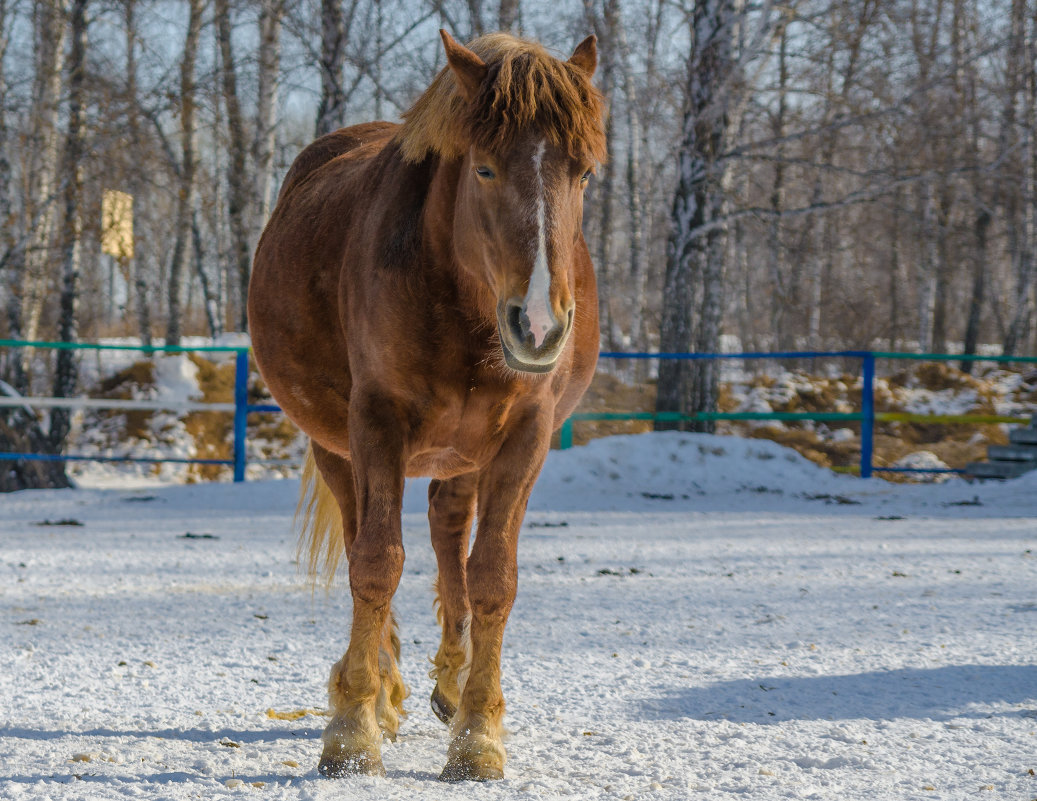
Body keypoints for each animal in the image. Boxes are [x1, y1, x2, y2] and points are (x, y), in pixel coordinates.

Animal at [248, 31, 605, 780]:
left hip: (463, 454)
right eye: (486, 170)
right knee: (365, 538)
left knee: (448, 537)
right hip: (338, 448)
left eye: (585, 174)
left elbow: (491, 576)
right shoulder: (376, 423)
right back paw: (381, 689)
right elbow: (377, 561)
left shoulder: (526, 437)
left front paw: (478, 734)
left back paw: (449, 681)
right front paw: (351, 730)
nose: (538, 327)